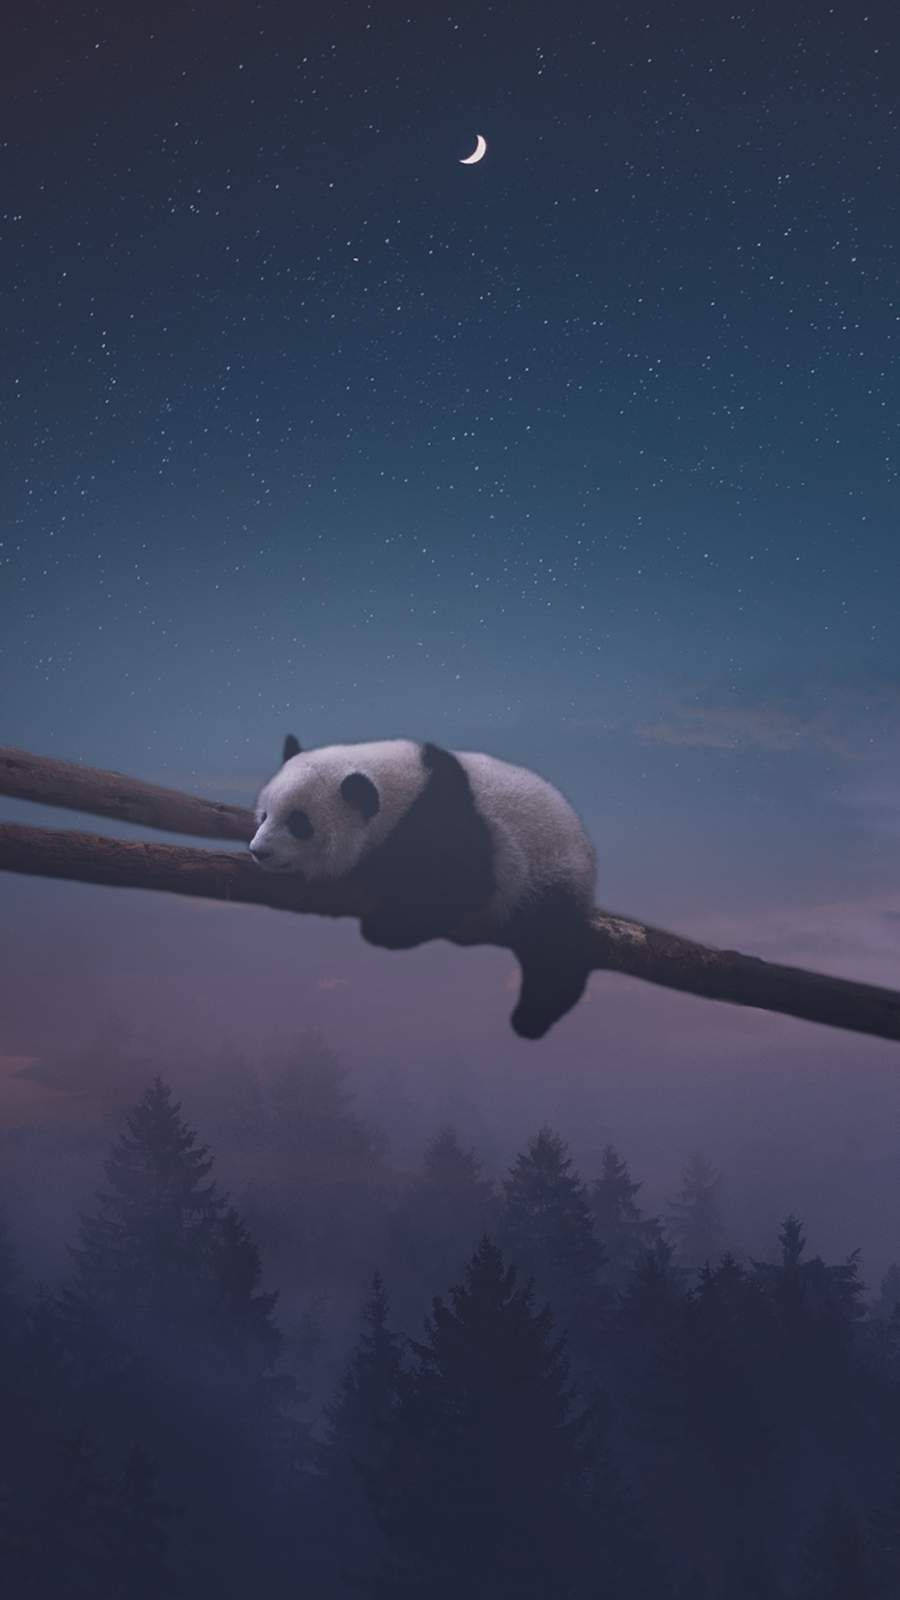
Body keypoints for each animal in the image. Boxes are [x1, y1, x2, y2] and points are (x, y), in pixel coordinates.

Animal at [249, 735, 597, 1040]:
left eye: (299, 823)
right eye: (264, 815)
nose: (258, 851)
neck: (400, 790)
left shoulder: (450, 821)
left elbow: (460, 885)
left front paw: (386, 925)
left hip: (550, 871)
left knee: (553, 947)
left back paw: (532, 1017)